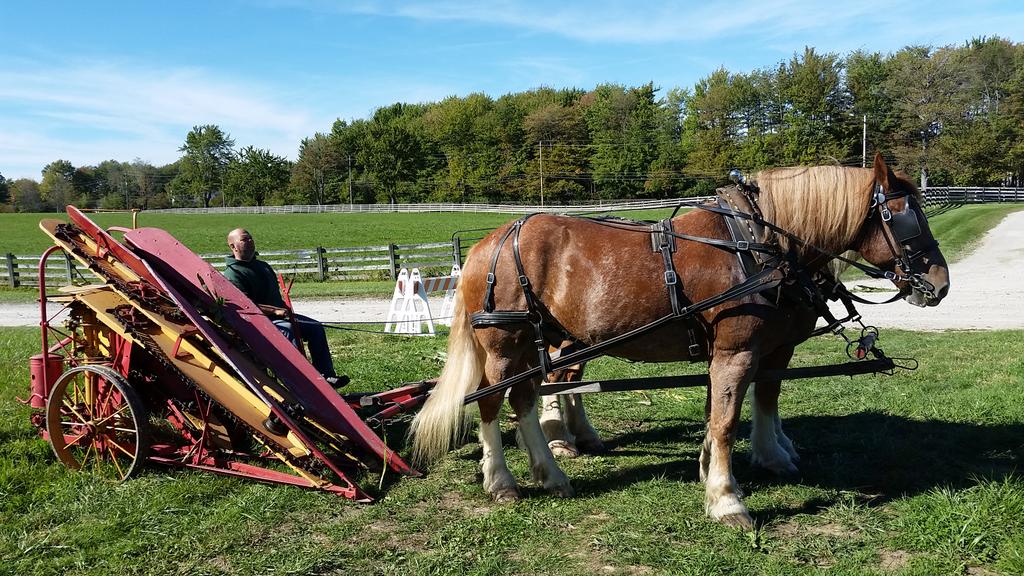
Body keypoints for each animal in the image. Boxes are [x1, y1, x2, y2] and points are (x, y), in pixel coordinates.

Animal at [411, 154, 949, 529]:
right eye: (906, 218)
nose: (939, 284)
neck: (758, 246)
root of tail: (487, 243)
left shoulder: (754, 351)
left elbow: (745, 405)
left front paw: (737, 463)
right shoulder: (739, 351)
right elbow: (728, 420)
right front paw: (727, 499)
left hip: (539, 342)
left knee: (527, 395)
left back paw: (552, 469)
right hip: (506, 344)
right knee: (494, 402)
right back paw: (503, 480)